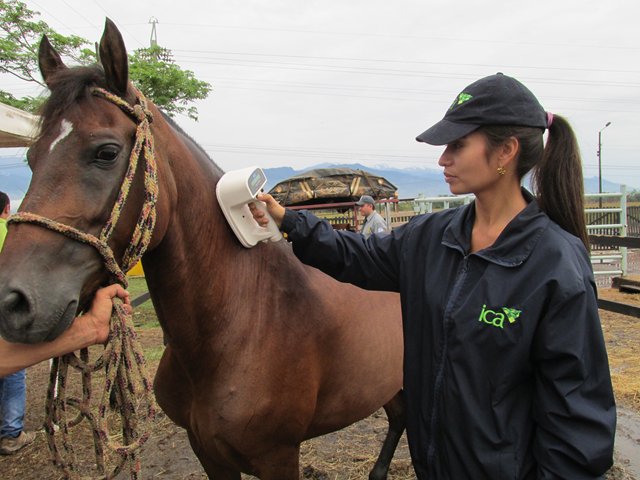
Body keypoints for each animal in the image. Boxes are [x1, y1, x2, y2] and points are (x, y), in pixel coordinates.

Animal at [0, 18, 404, 480]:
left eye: (106, 152)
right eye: (31, 157)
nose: (13, 301)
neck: (245, 323)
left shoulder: (278, 456)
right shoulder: (207, 452)